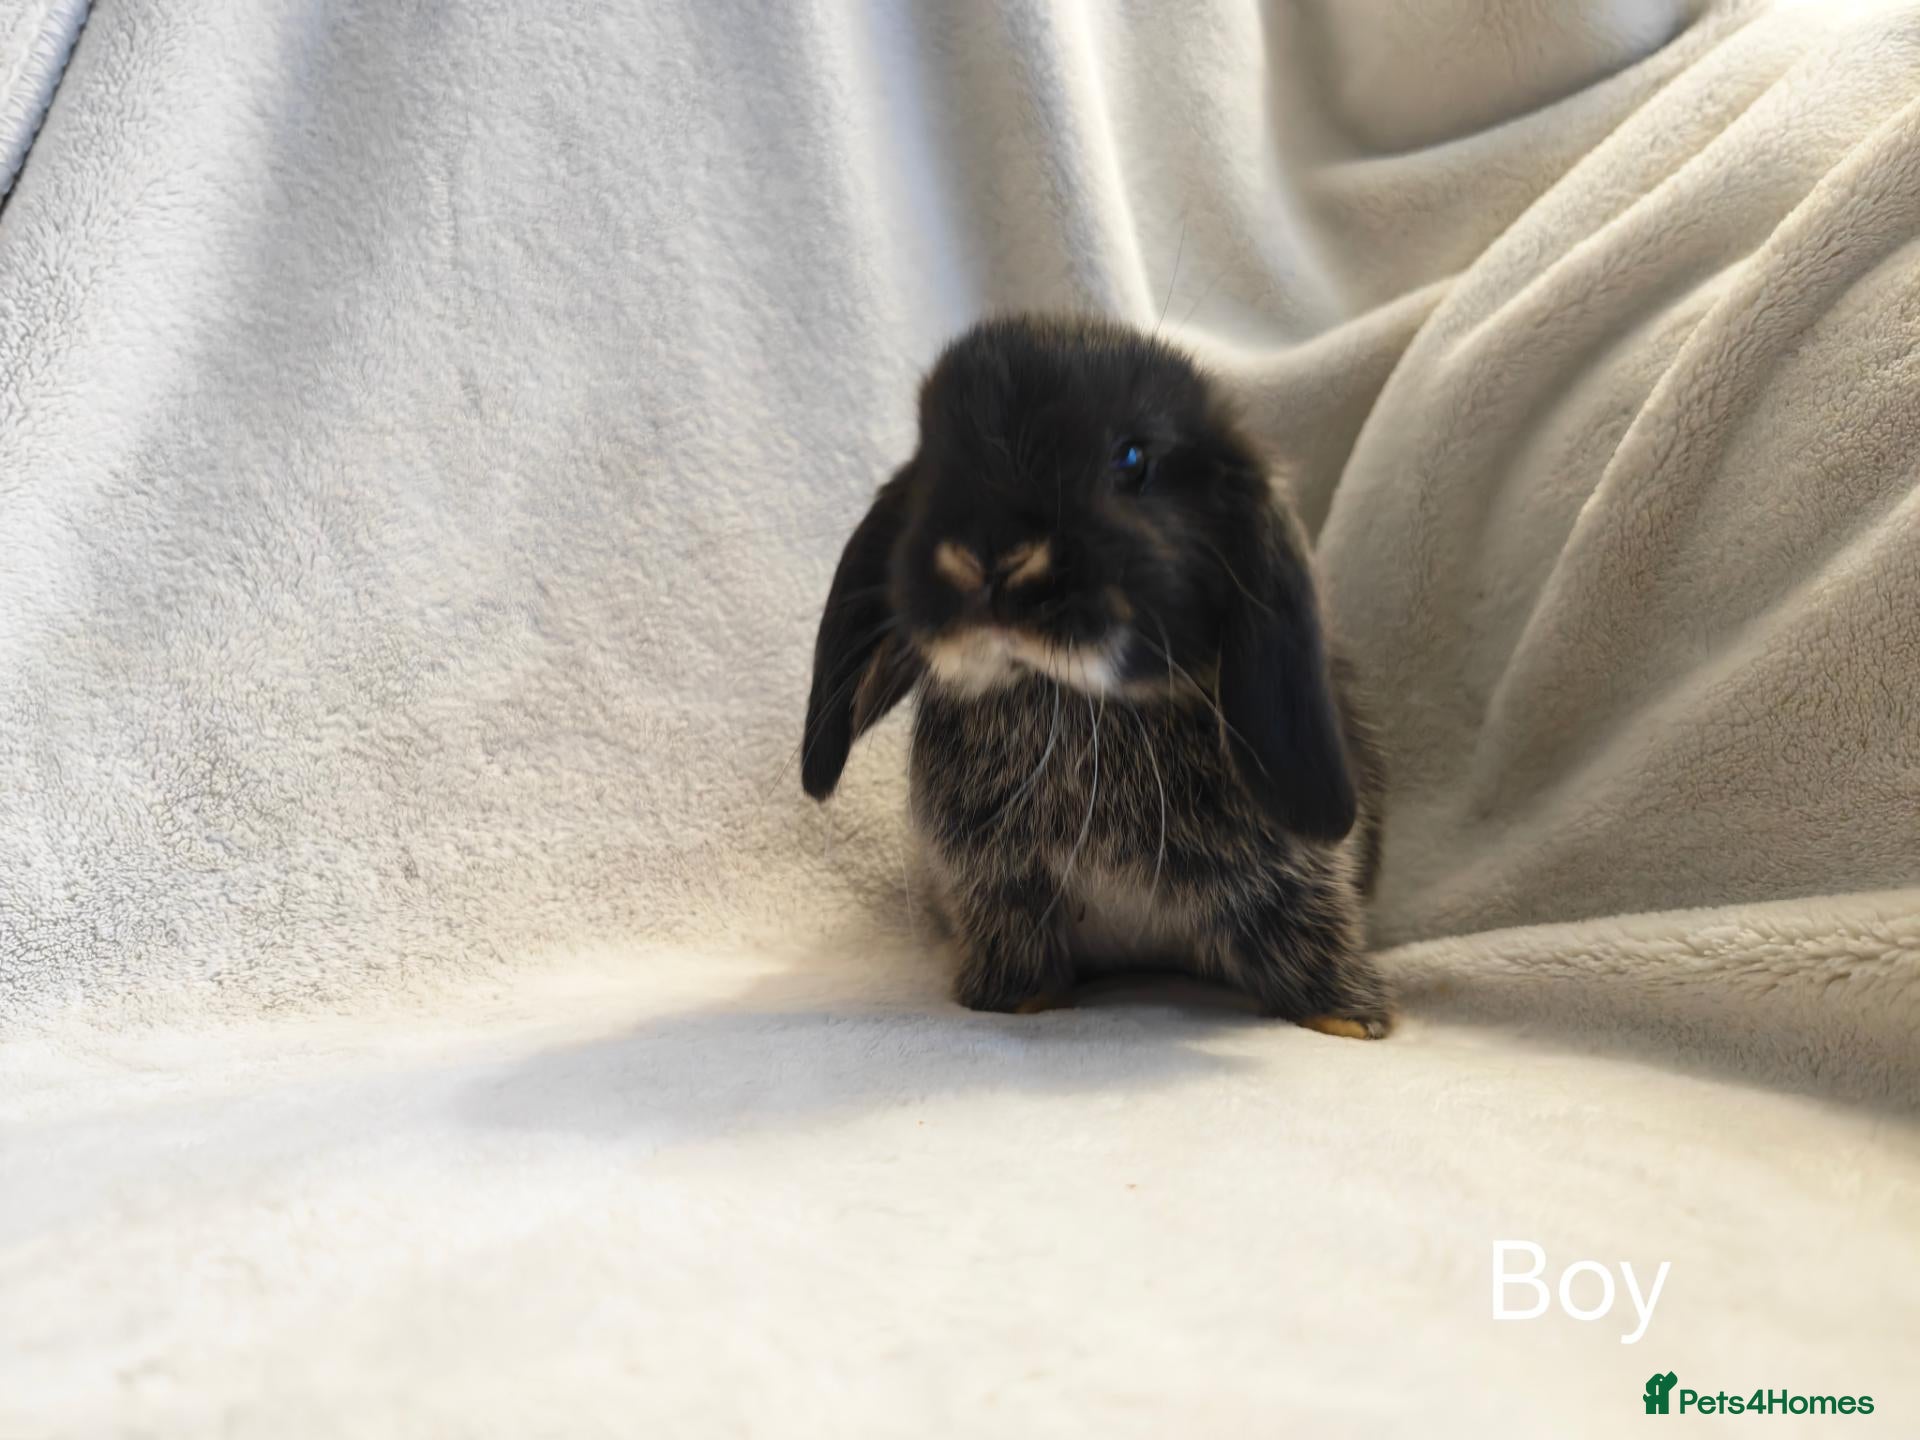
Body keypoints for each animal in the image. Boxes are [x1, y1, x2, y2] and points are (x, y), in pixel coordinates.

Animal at [801, 313, 1392, 1038]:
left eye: (1133, 460)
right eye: (931, 456)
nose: (988, 555)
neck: (1069, 697)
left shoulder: (1289, 879)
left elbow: (1308, 937)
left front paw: (1350, 1021)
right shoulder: (1000, 885)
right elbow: (1016, 943)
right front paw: (1014, 1002)